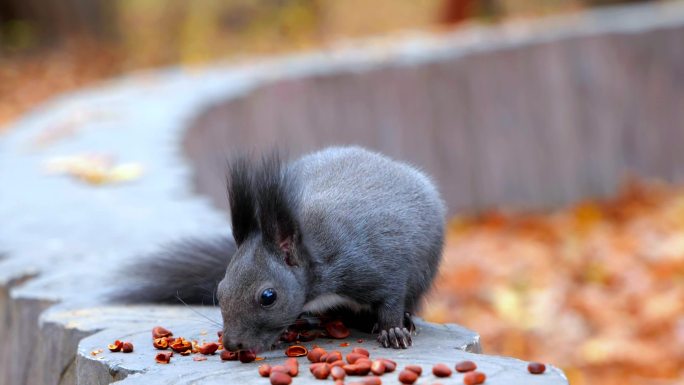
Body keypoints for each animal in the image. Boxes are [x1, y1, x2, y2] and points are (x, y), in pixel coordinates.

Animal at [115, 146, 446, 348]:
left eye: (268, 297)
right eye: (219, 291)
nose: (232, 344)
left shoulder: (379, 266)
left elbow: (390, 300)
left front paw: (393, 330)